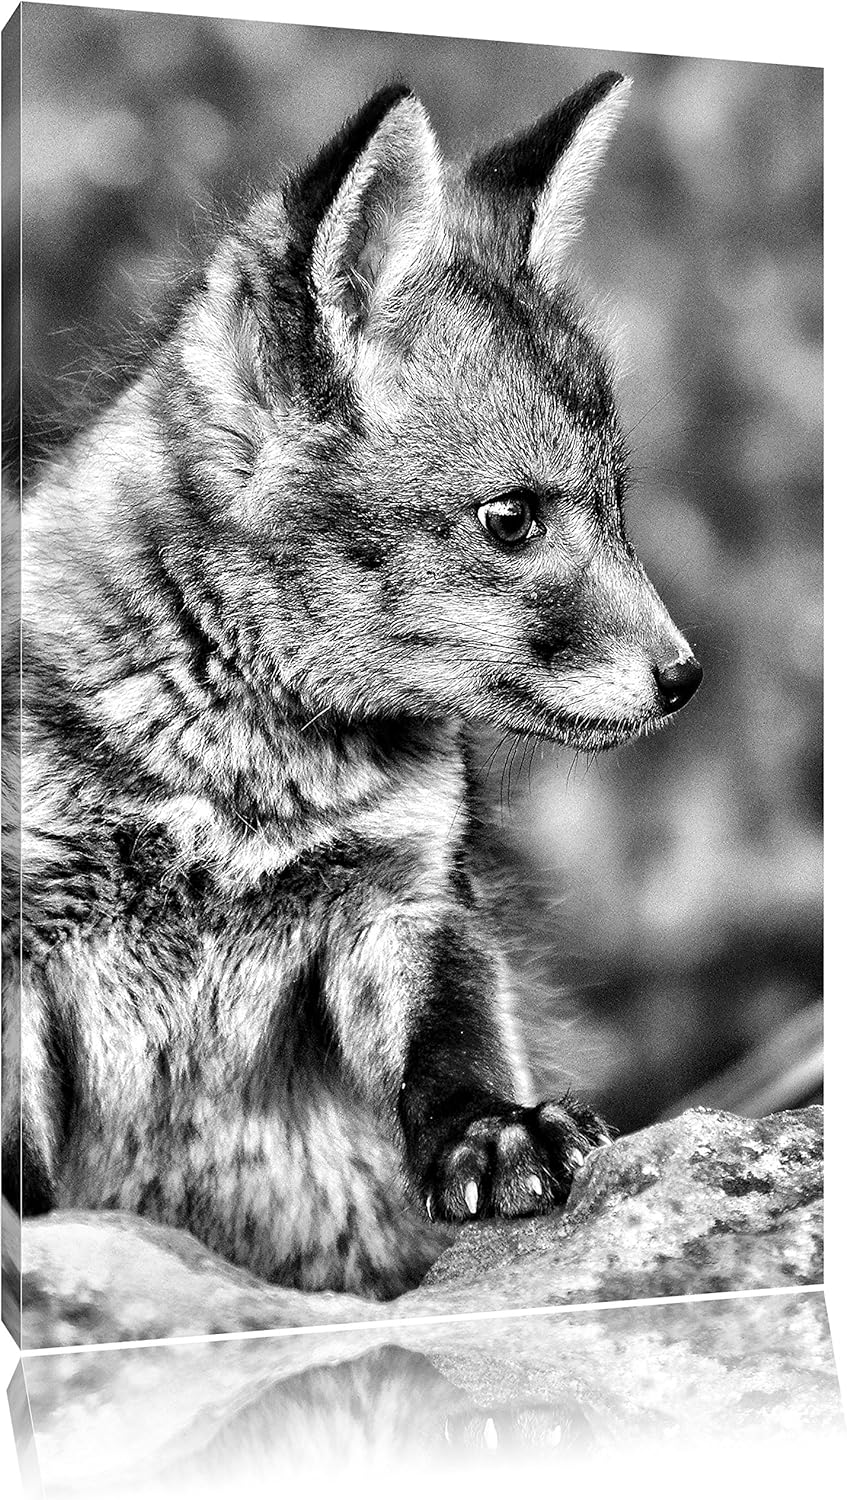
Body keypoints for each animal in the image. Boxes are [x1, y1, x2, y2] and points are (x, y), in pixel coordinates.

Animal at [3, 71, 702, 1302]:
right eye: (512, 518)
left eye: (618, 508)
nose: (684, 677)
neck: (234, 787)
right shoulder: (17, 936)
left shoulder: (408, 904)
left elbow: (456, 1048)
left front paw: (495, 1132)